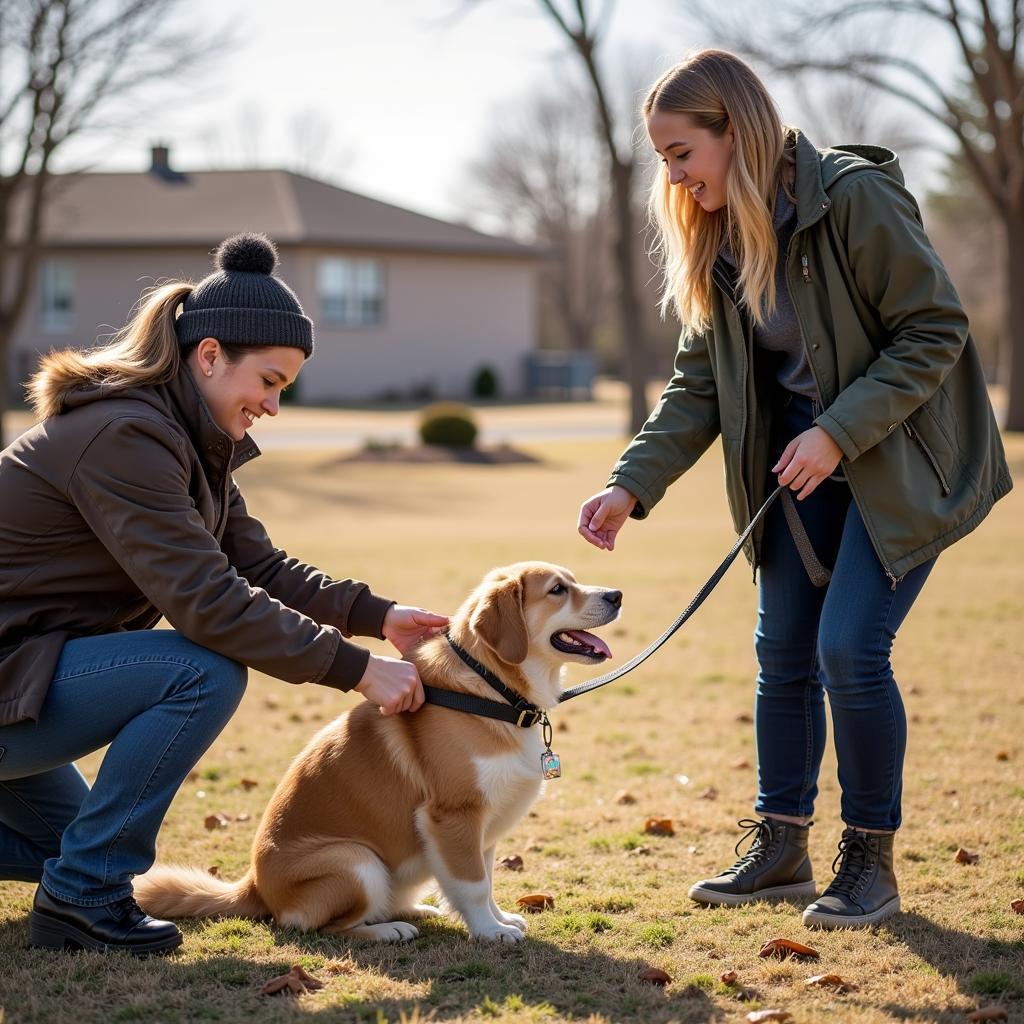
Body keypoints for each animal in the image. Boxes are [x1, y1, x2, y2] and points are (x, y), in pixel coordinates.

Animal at [133, 561, 618, 942]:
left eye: (574, 581)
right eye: (557, 590)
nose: (616, 594)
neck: (492, 690)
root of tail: (251, 887)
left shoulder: (483, 824)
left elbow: (484, 876)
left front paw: (498, 920)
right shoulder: (453, 814)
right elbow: (473, 883)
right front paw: (489, 932)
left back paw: (413, 909)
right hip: (357, 862)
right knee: (318, 926)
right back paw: (387, 930)